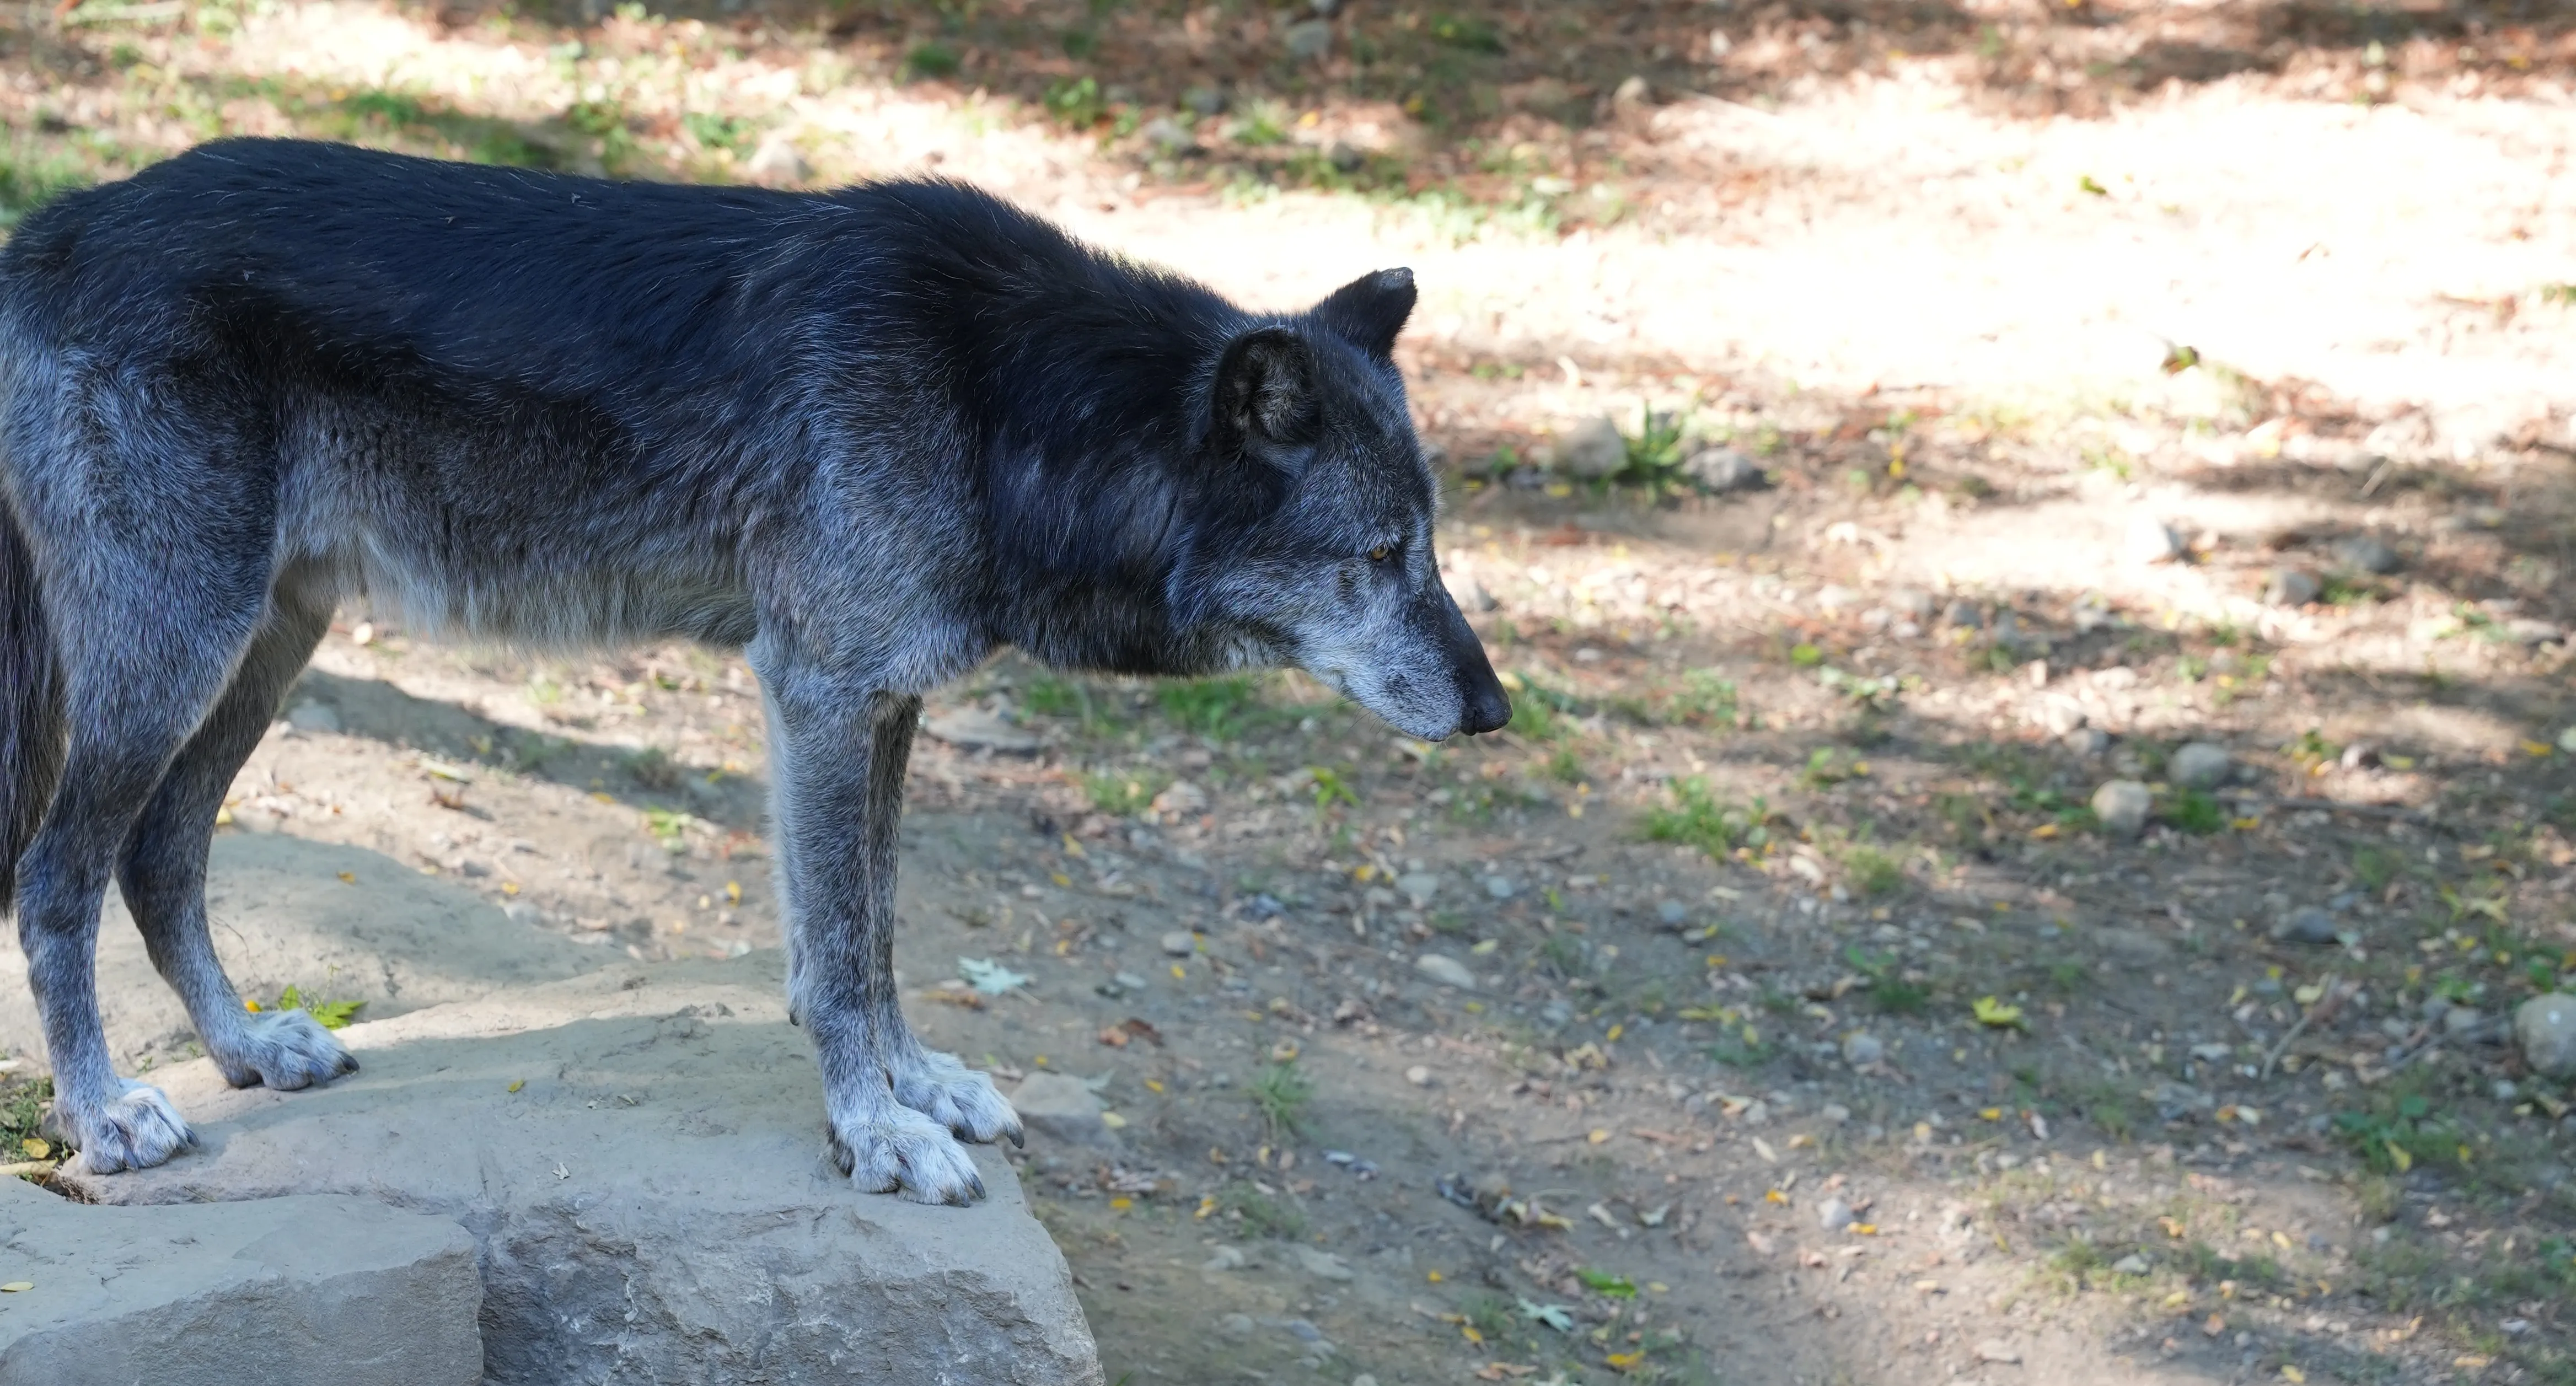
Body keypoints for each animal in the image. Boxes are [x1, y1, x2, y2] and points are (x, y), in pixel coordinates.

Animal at [0, 138, 1509, 1203]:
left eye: (1429, 546)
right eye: (1381, 553)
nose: (1495, 711)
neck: (992, 398)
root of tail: (43, 232)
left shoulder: (887, 703)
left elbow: (880, 931)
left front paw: (912, 1088)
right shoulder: (819, 695)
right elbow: (835, 951)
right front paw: (874, 1134)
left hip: (258, 652)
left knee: (161, 856)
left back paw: (249, 1050)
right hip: (175, 653)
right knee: (58, 873)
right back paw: (106, 1111)